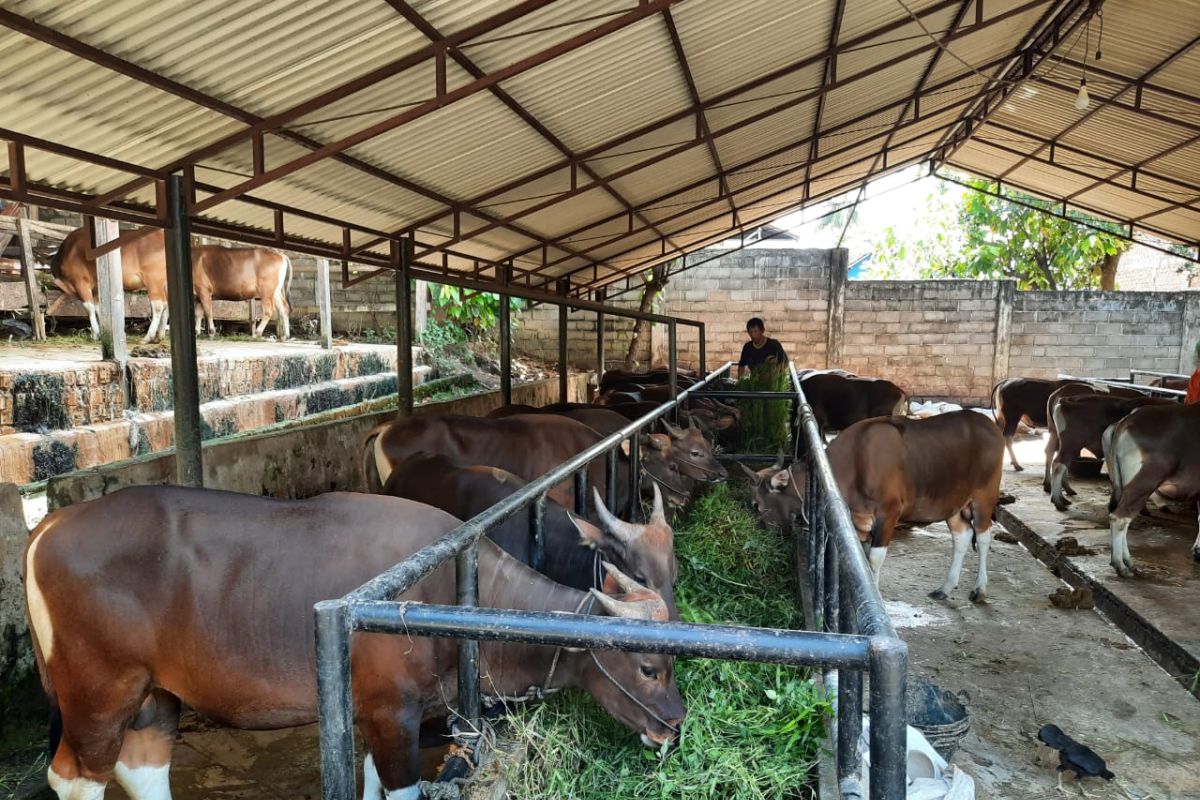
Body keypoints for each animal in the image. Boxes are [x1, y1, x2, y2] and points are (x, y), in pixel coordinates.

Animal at [25, 484, 686, 800]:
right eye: (648, 667)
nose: (674, 728)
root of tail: (46, 527)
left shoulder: (376, 712)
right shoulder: (392, 713)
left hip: (154, 695)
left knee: (141, 769)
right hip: (97, 693)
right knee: (76, 778)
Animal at [47, 226, 292, 343]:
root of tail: (280, 254)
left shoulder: (82, 282)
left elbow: (89, 308)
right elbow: (198, 312)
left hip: (265, 291)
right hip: (276, 291)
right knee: (283, 309)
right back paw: (284, 335)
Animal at [748, 412, 1003, 599]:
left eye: (756, 505)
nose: (760, 535)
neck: (853, 462)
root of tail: (989, 424)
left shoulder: (889, 513)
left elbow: (874, 559)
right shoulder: (858, 520)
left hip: (984, 495)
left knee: (983, 536)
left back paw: (980, 588)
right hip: (954, 503)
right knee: (962, 537)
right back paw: (946, 587)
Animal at [1099, 407, 1200, 575]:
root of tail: (1127, 419)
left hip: (1121, 484)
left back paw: (1127, 562)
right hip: (1143, 483)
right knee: (1120, 517)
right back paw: (1121, 565)